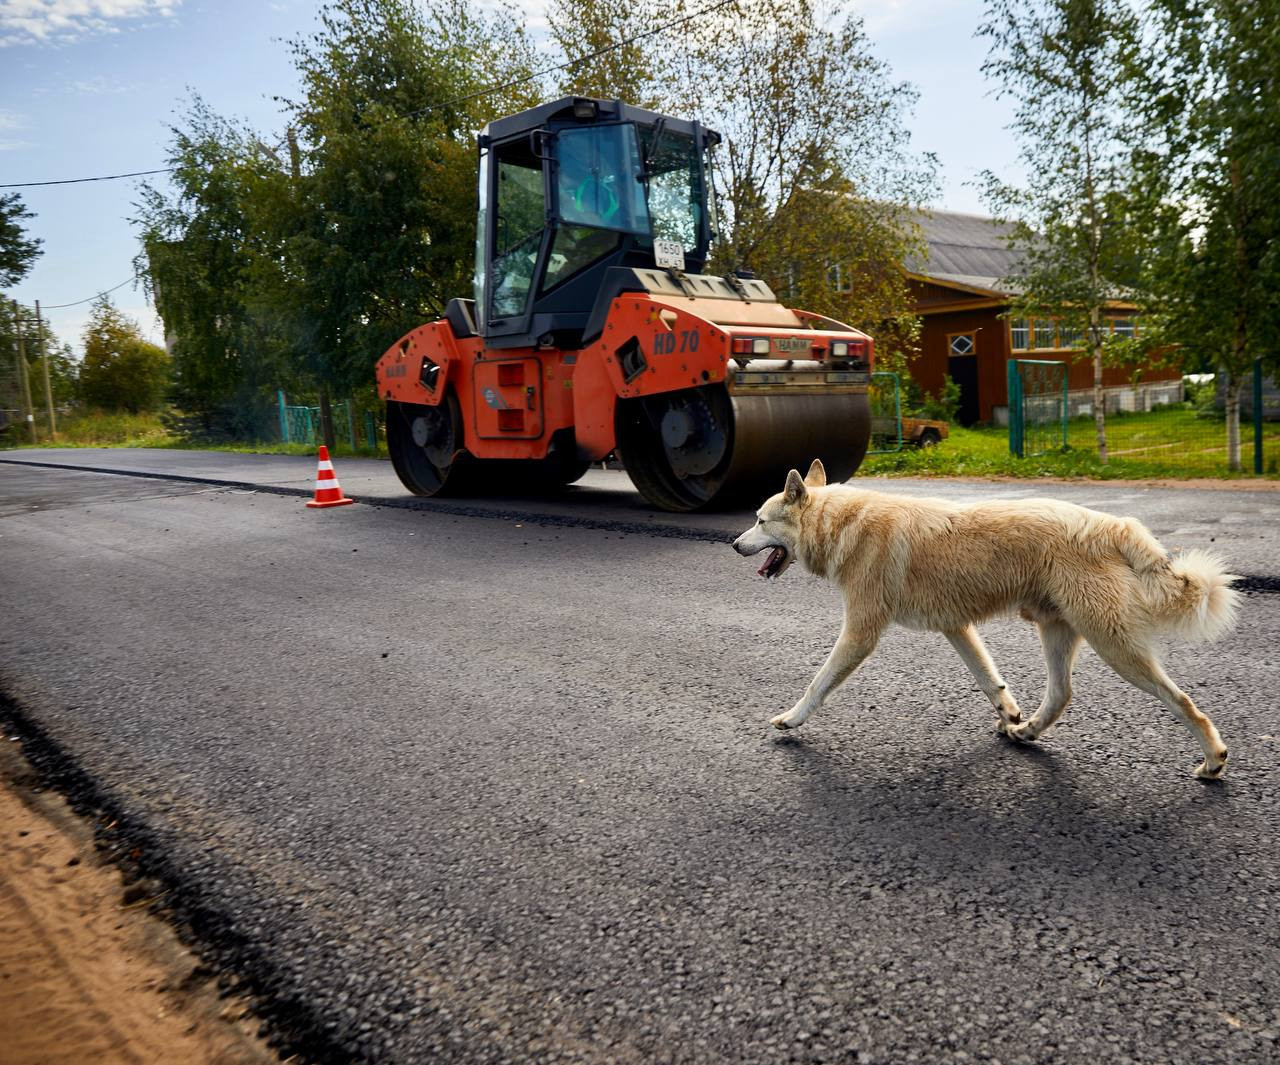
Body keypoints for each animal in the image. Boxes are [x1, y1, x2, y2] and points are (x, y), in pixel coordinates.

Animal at [732, 460, 1239, 783]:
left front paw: (791, 719)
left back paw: (1214, 762)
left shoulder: (860, 634)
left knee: (1183, 702)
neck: (841, 524)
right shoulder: (956, 628)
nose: (735, 545)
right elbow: (990, 680)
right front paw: (1008, 714)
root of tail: (1112, 525)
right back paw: (1025, 730)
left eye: (759, 521)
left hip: (1116, 649)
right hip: (1056, 632)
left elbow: (817, 684)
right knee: (1061, 695)